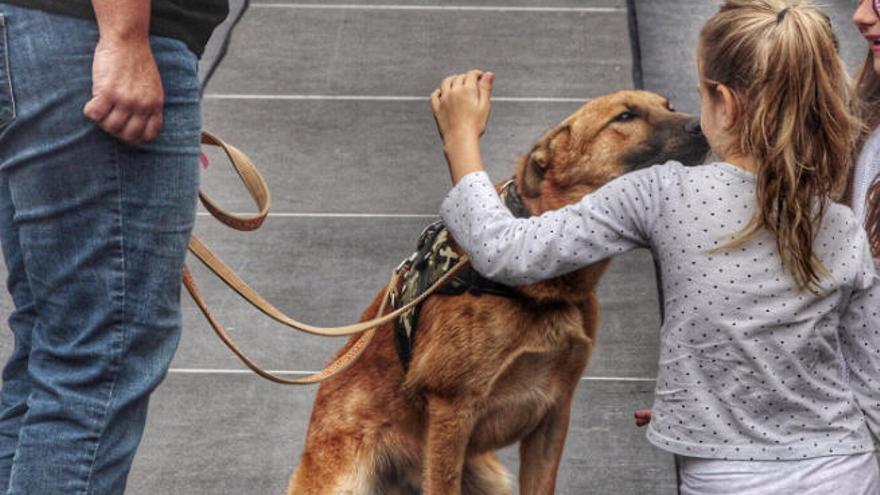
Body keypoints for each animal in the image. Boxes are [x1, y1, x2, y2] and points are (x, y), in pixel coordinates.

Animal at [288, 90, 708, 495]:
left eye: (668, 106)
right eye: (625, 116)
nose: (700, 126)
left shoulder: (553, 414)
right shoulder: (451, 413)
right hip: (346, 480)